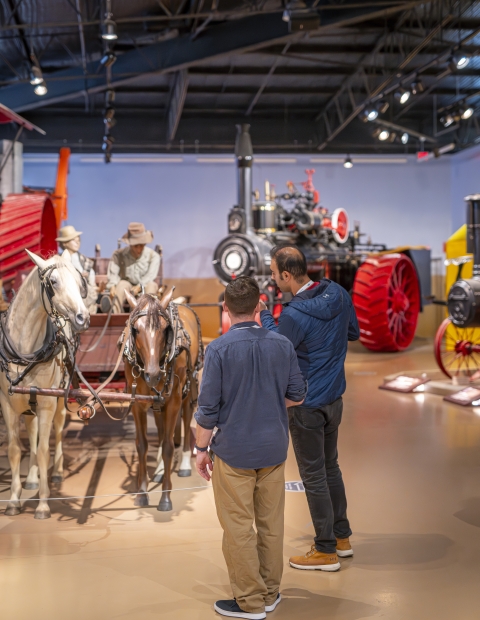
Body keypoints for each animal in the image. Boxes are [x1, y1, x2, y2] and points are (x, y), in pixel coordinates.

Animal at [0, 251, 89, 520]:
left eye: (80, 282)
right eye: (54, 282)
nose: (83, 318)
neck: (24, 350)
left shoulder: (48, 403)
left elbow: (42, 450)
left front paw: (42, 504)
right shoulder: (7, 403)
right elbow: (15, 449)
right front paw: (14, 500)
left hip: (58, 400)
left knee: (57, 432)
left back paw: (57, 472)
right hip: (27, 402)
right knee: (31, 430)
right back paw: (31, 478)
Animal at [124, 288, 202, 512]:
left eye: (165, 329)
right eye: (136, 329)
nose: (153, 374)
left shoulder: (173, 401)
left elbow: (168, 447)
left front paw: (165, 497)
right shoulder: (138, 404)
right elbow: (142, 445)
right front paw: (142, 493)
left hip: (187, 390)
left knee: (186, 420)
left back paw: (184, 464)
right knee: (159, 428)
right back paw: (158, 471)